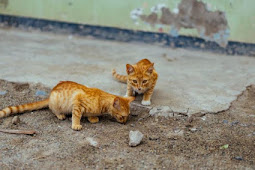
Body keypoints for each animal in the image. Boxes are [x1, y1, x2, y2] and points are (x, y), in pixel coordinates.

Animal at [0, 81, 135, 130]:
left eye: (128, 116)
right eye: (123, 116)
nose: (125, 123)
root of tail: (50, 94)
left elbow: (89, 114)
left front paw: (92, 118)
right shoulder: (77, 102)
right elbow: (76, 116)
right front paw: (76, 125)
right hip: (56, 101)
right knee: (52, 109)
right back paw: (60, 115)